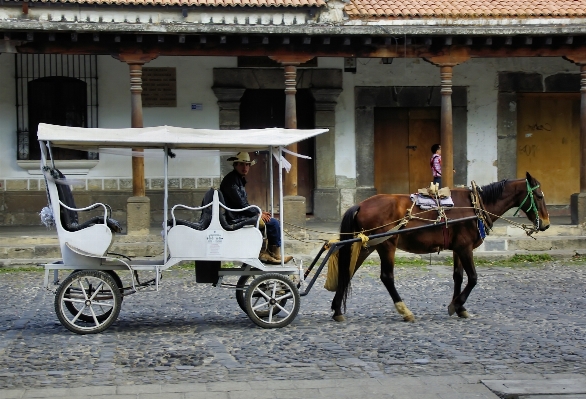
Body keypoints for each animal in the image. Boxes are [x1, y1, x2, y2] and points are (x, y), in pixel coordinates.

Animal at [330, 173, 548, 324]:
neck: (476, 205)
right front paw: (456, 304)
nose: (546, 224)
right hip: (386, 244)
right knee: (387, 277)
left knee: (347, 272)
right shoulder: (465, 247)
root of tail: (360, 204)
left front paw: (460, 307)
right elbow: (473, 278)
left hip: (367, 245)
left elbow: (458, 276)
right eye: (538, 196)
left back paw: (337, 310)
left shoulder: (458, 248)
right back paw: (405, 311)